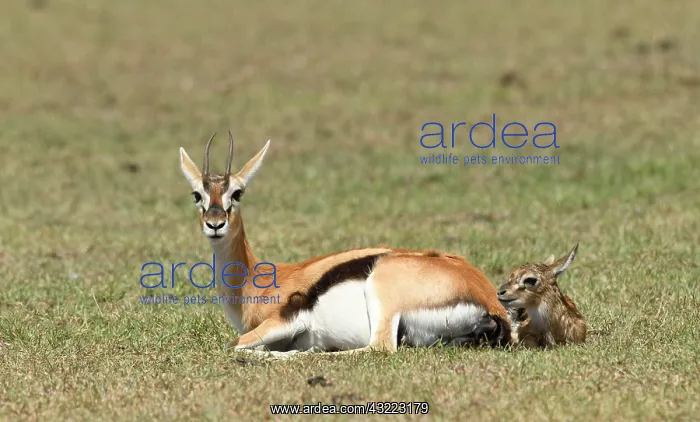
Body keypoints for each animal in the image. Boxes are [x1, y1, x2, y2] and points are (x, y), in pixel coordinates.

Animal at [178, 133, 511, 355]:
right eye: (197, 194)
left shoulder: (284, 320)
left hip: (381, 293)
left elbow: (233, 345)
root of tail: (489, 300)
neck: (255, 282)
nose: (215, 223)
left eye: (237, 192)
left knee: (376, 348)